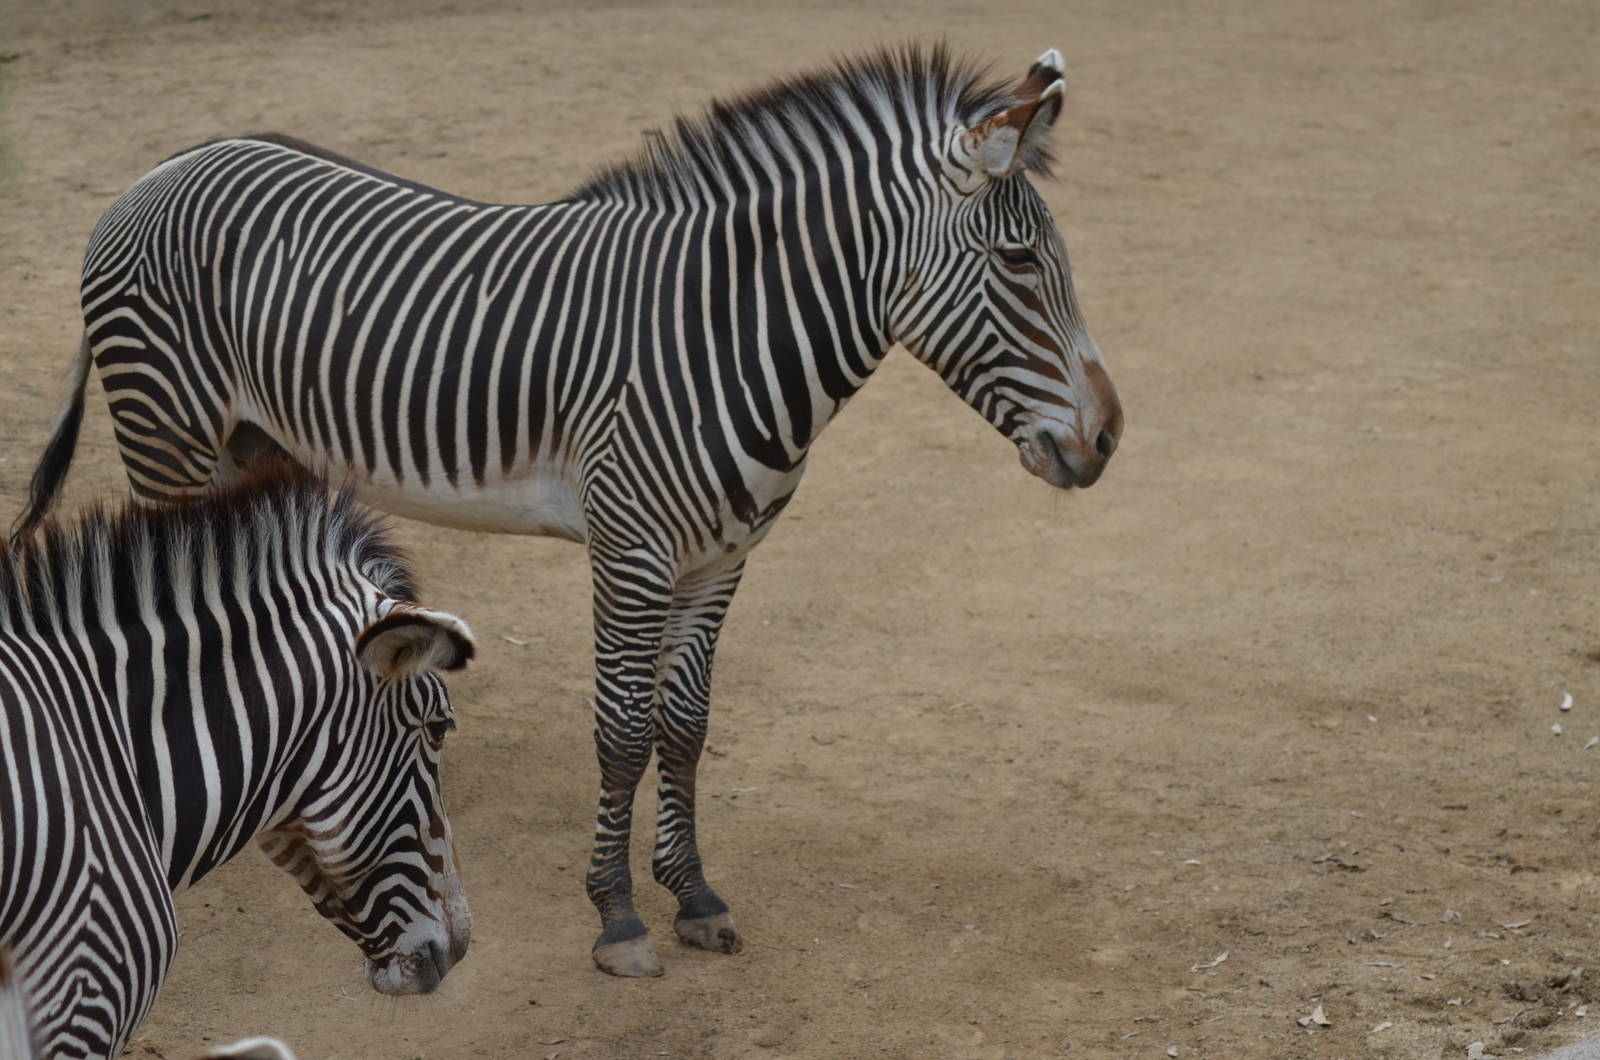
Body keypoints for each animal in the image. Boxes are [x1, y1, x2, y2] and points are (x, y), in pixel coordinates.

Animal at [13, 44, 1123, 977]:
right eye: (1021, 262)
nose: (1109, 439)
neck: (721, 334)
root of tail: (164, 167)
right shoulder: (630, 548)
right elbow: (623, 732)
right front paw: (618, 916)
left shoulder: (721, 557)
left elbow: (685, 725)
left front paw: (693, 894)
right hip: (167, 432)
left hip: (256, 445)